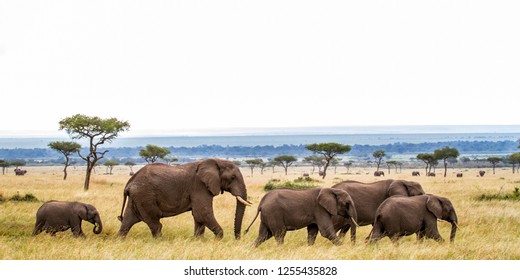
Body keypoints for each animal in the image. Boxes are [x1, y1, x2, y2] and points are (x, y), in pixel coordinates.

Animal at [120, 159, 254, 240]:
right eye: (233, 177)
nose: (238, 238)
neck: (216, 161)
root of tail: (129, 183)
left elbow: (198, 217)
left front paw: (198, 241)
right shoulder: (199, 186)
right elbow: (203, 213)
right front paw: (218, 240)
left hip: (137, 198)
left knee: (127, 222)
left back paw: (121, 240)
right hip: (145, 196)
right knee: (155, 224)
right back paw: (159, 242)